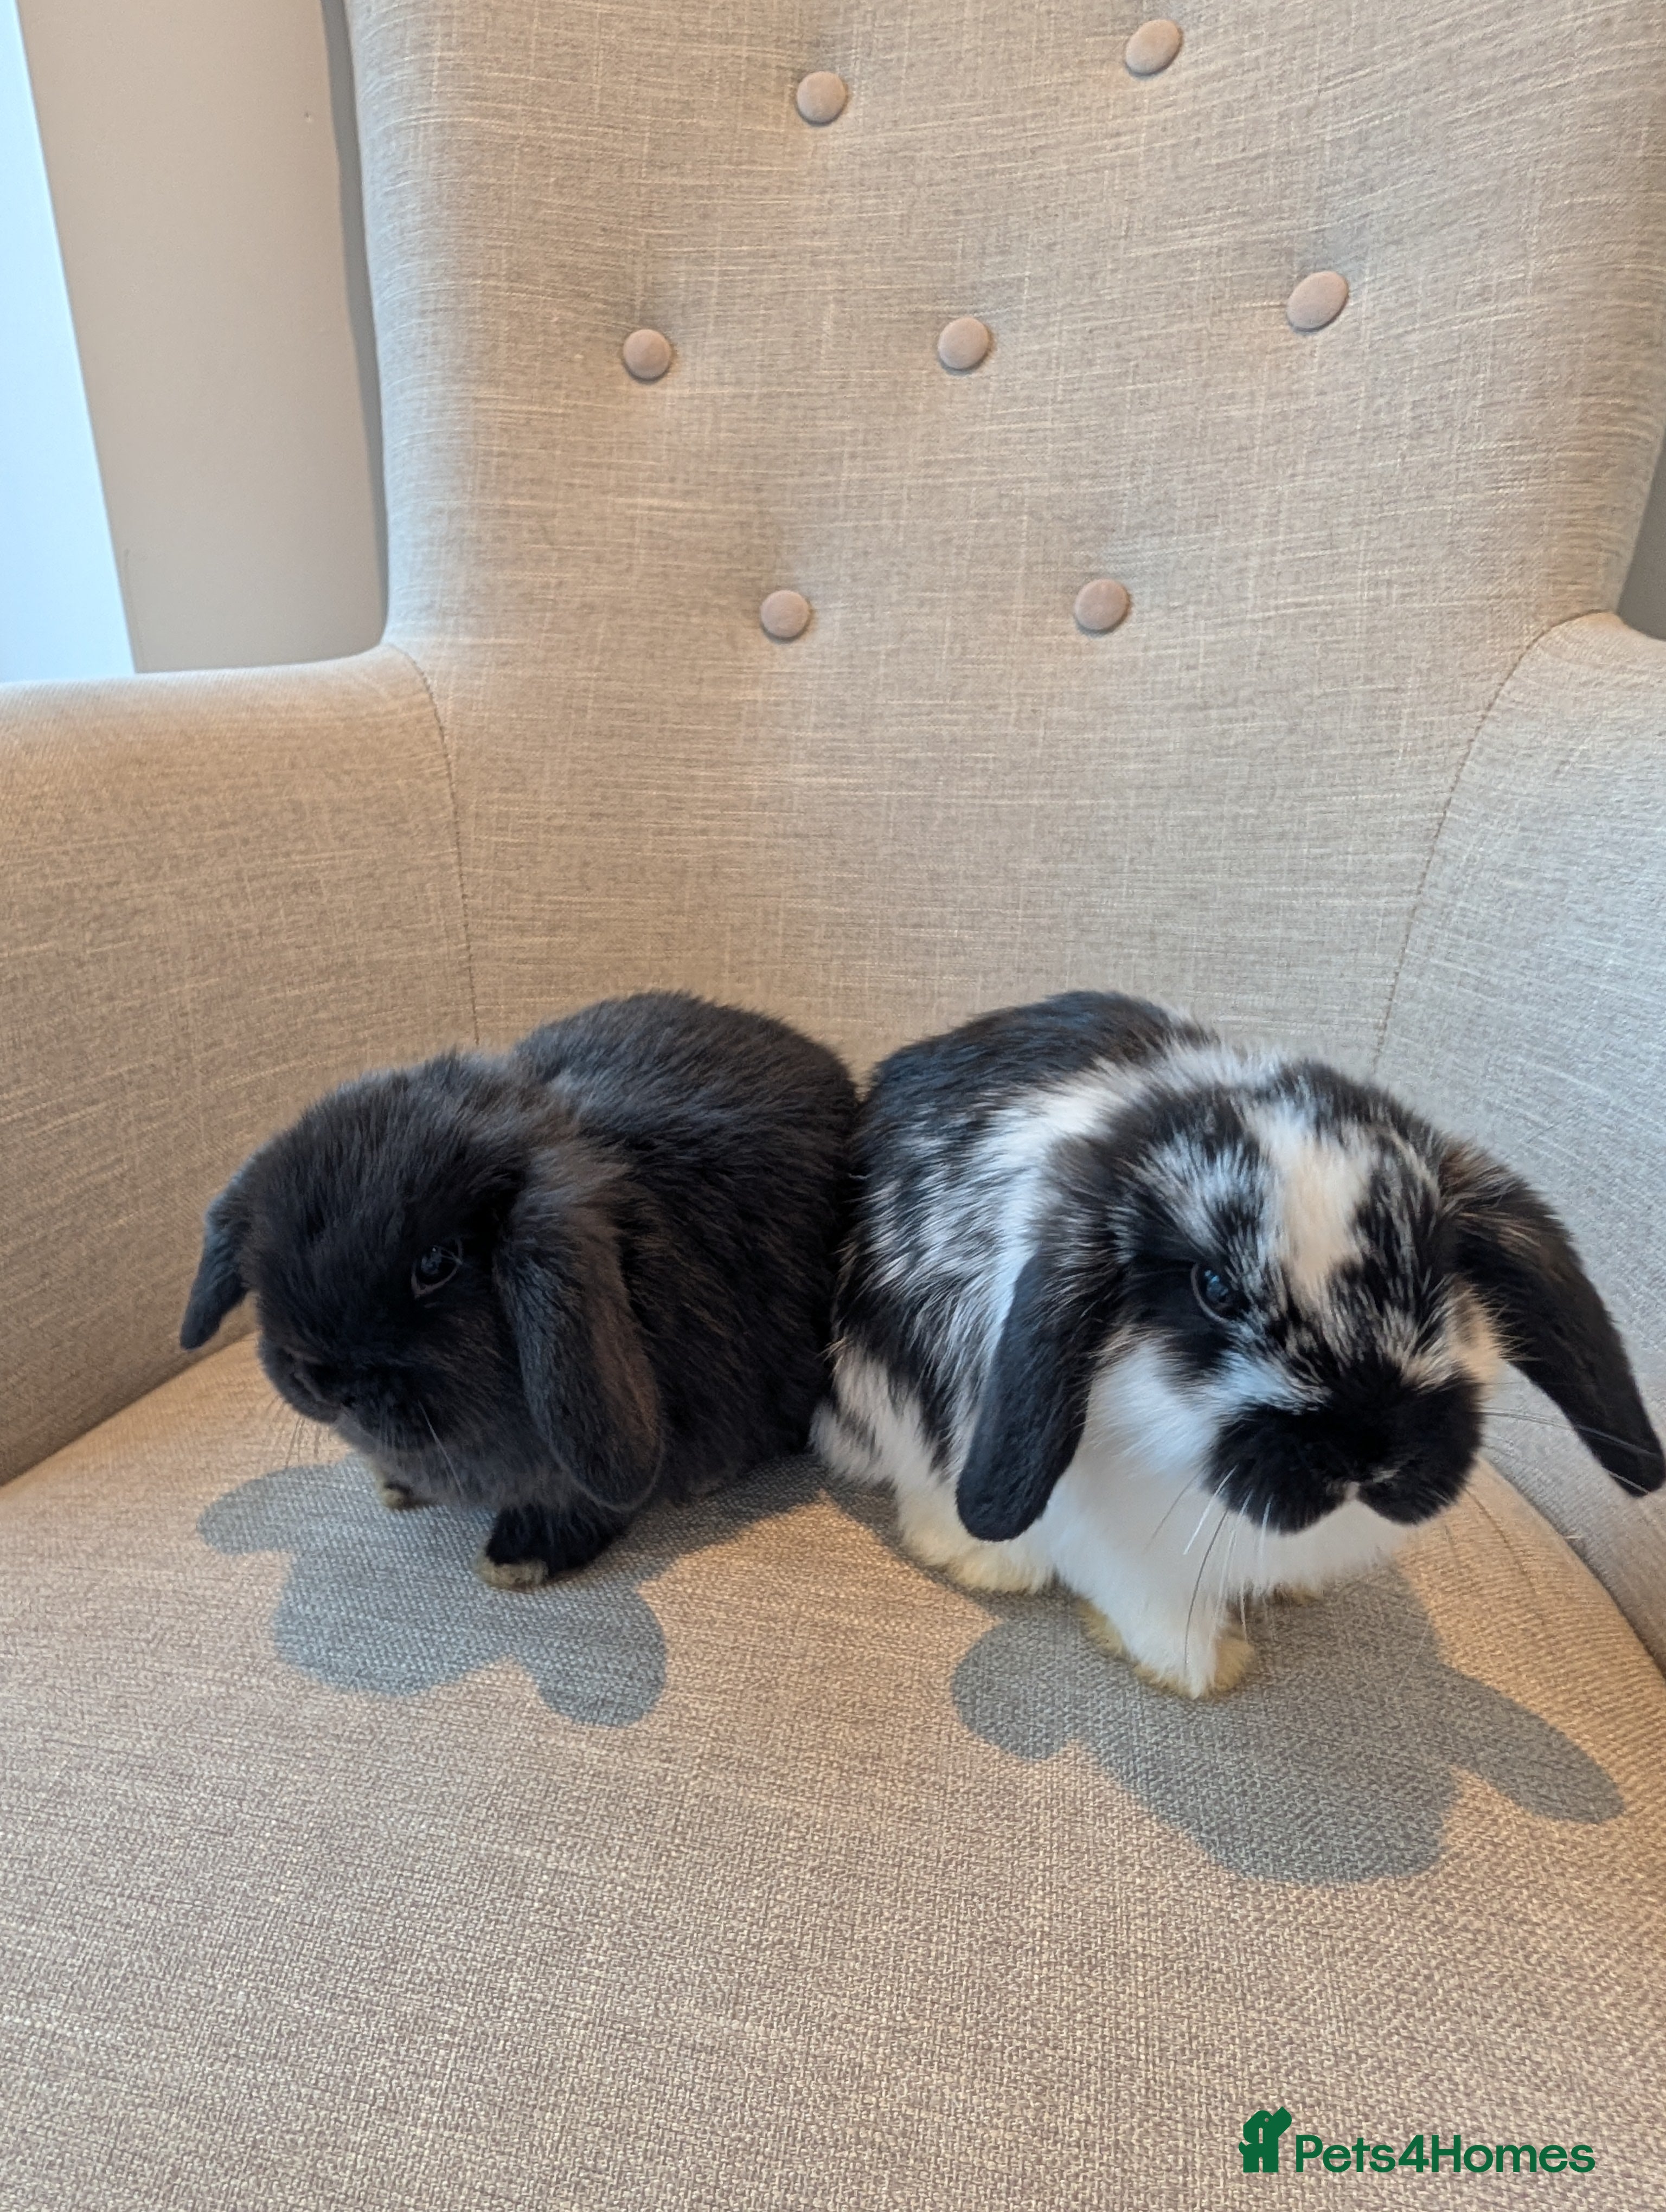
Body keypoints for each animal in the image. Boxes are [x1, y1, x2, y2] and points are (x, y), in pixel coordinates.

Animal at [813, 990, 1662, 1697]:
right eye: (1214, 1288)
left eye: (1437, 1268)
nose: (1367, 1456)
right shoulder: (1117, 1543)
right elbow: (1154, 1609)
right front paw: (1201, 1670)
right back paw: (981, 1559)